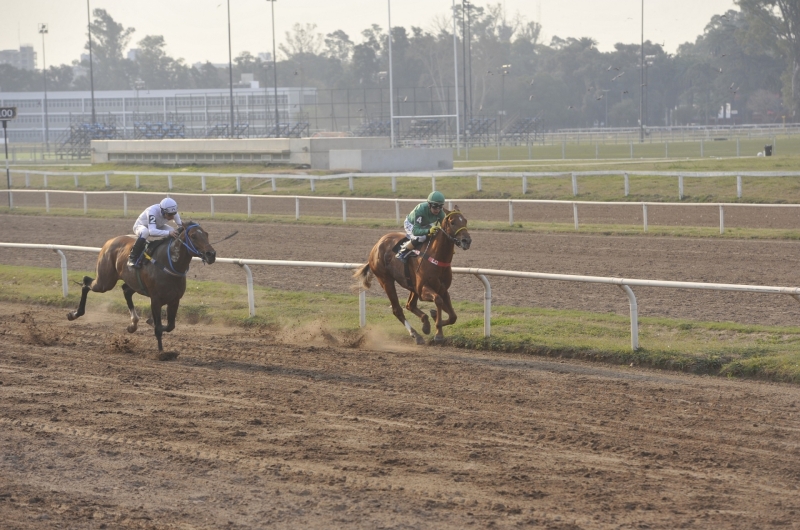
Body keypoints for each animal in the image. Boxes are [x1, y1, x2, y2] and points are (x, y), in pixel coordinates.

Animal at [67, 222, 217, 350]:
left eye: (206, 234)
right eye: (193, 236)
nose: (211, 254)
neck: (169, 264)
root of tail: (109, 241)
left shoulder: (174, 300)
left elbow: (170, 326)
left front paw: (150, 322)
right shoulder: (155, 300)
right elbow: (158, 327)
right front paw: (162, 352)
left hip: (131, 283)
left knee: (126, 290)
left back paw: (133, 324)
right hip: (105, 281)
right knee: (86, 282)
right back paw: (74, 314)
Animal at [354, 204, 472, 344]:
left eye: (465, 221)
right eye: (452, 222)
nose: (466, 240)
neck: (436, 257)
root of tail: (377, 245)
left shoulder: (442, 289)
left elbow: (453, 316)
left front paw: (435, 318)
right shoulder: (423, 289)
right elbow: (438, 300)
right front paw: (438, 332)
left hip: (411, 284)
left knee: (410, 305)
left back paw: (425, 323)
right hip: (386, 280)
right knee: (397, 309)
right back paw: (416, 334)